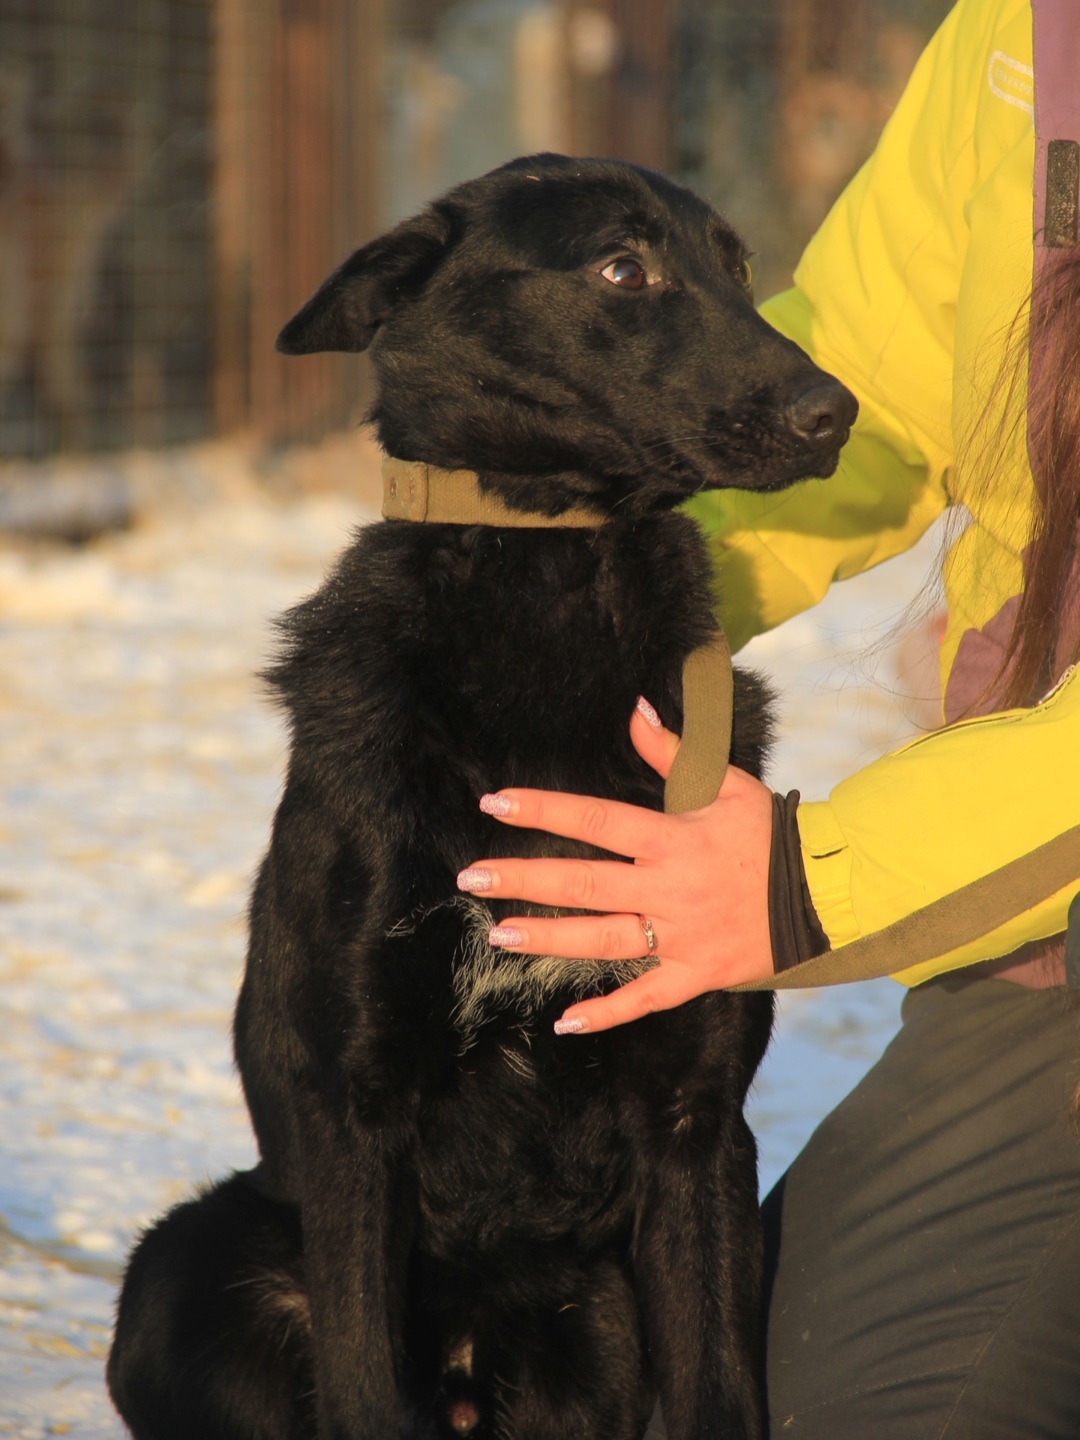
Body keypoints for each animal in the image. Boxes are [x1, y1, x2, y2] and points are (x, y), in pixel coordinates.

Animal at [107, 154, 856, 1440]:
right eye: (623, 268)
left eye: (739, 266)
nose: (835, 413)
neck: (548, 573)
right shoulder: (357, 1114)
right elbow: (366, 1386)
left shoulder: (699, 1122)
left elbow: (715, 1386)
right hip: (187, 1261)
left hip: (598, 1312)